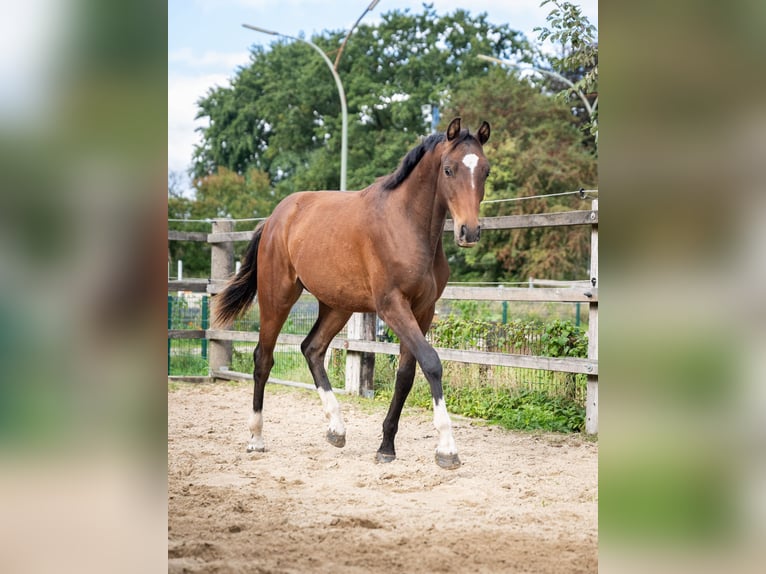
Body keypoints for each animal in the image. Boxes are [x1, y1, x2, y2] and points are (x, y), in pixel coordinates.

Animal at [213, 117, 491, 469]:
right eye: (449, 169)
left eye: (486, 171)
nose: (470, 231)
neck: (406, 226)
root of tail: (275, 218)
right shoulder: (392, 306)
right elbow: (431, 362)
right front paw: (447, 449)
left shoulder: (423, 309)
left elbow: (406, 373)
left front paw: (386, 446)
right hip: (277, 296)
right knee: (264, 358)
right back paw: (257, 439)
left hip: (337, 306)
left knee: (312, 349)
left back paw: (336, 429)